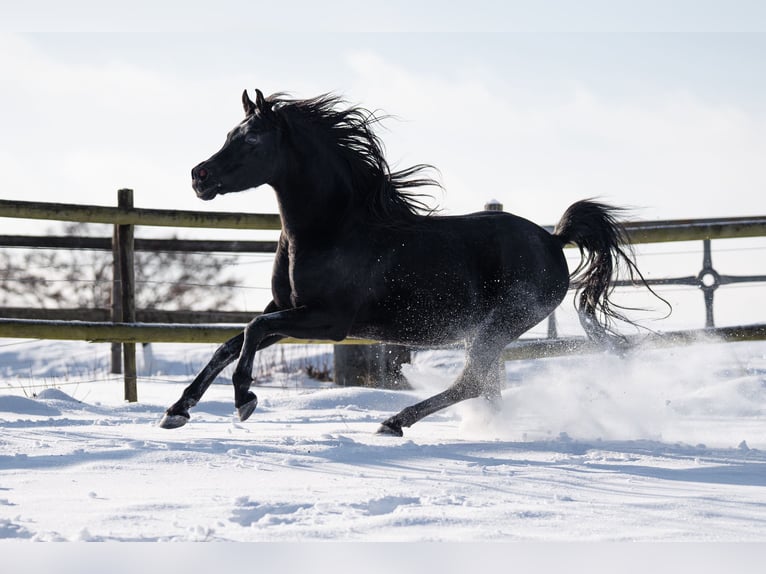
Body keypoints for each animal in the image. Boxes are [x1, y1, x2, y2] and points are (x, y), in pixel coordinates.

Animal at [160, 89, 655, 437]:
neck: (332, 229)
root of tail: (552, 239)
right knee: (483, 385)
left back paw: (393, 422)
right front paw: (177, 411)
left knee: (472, 382)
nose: (199, 176)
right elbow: (231, 342)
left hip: (498, 326)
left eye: (252, 140)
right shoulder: (288, 310)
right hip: (487, 331)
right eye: (229, 135)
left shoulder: (328, 320)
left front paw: (244, 399)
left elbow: (249, 331)